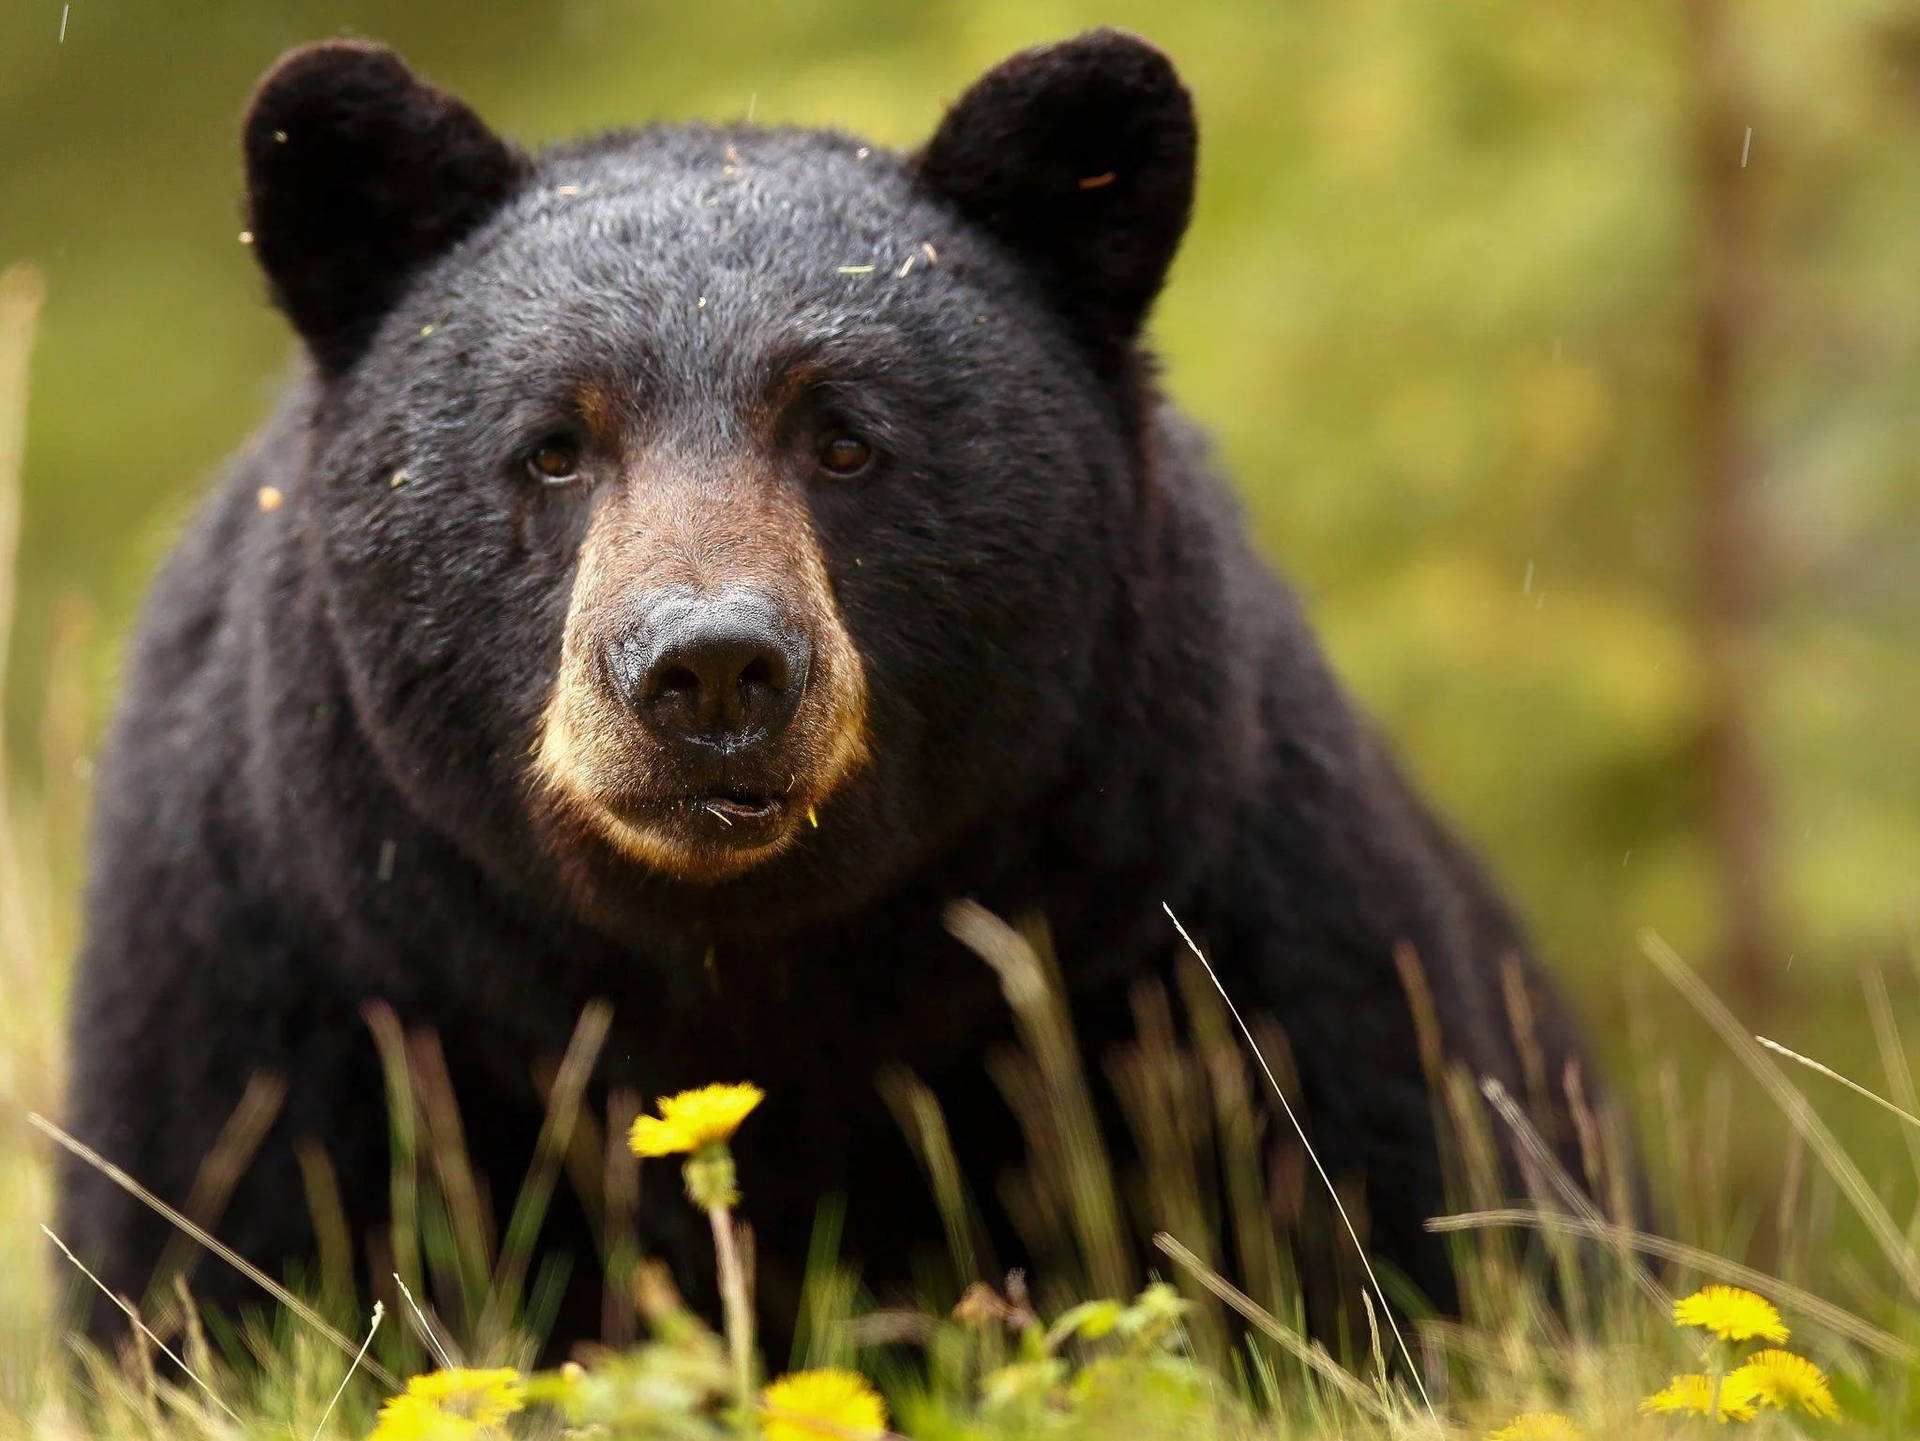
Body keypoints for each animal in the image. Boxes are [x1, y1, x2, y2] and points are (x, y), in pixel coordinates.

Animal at [56, 25, 1620, 1350]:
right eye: (554, 446)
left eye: (845, 438)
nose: (708, 669)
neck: (745, 975)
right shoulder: (280, 982)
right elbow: (210, 1256)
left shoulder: (1218, 938)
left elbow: (1400, 1218)